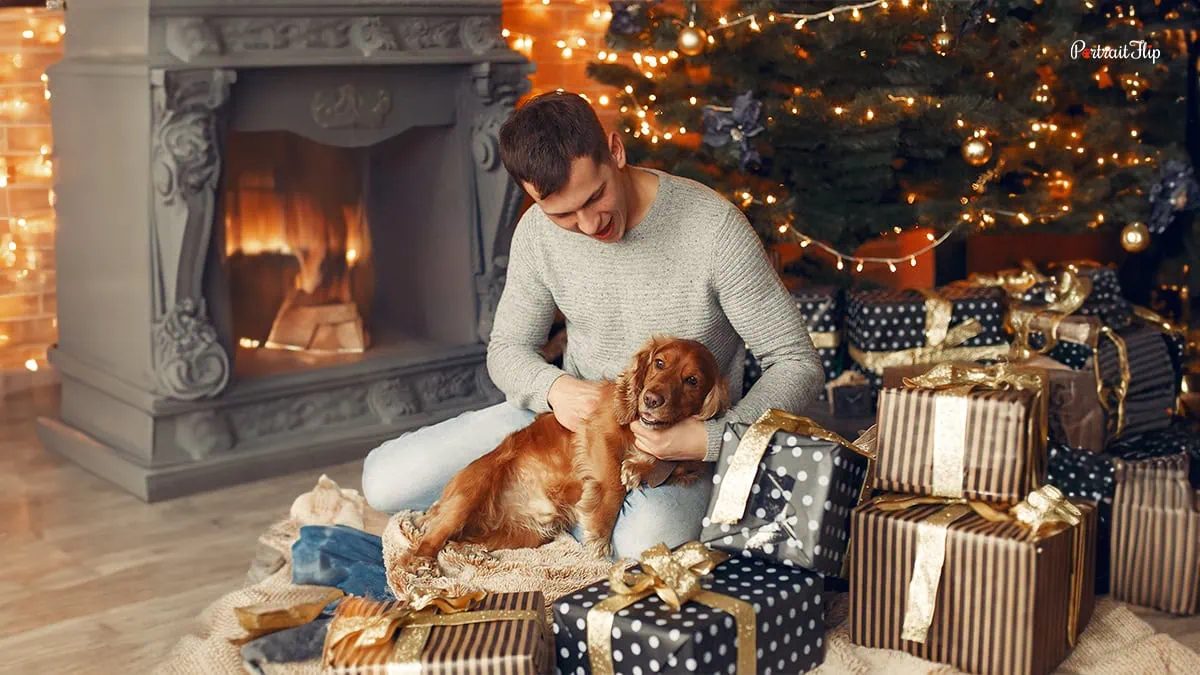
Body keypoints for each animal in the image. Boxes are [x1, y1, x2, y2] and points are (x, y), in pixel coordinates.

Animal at [410, 333, 729, 559]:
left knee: (464, 538)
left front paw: (640, 468)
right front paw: (600, 532)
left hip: (527, 534)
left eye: (692, 380)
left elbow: (674, 463)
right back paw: (420, 564)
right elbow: (612, 482)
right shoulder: (599, 431)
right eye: (659, 363)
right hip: (471, 490)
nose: (651, 399)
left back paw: (468, 550)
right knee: (428, 542)